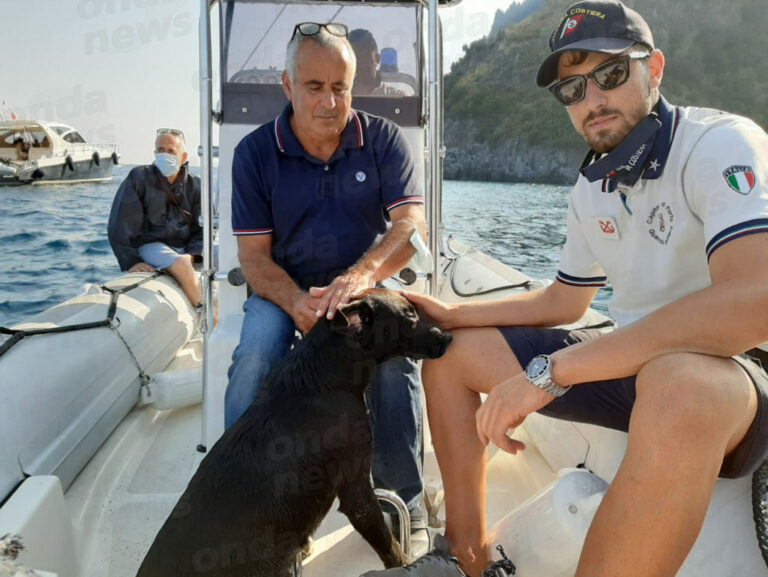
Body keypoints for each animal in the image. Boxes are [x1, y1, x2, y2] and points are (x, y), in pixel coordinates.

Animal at [136, 288, 450, 576]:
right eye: (410, 316)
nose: (448, 337)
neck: (327, 374)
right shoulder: (356, 490)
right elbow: (389, 546)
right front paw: (405, 564)